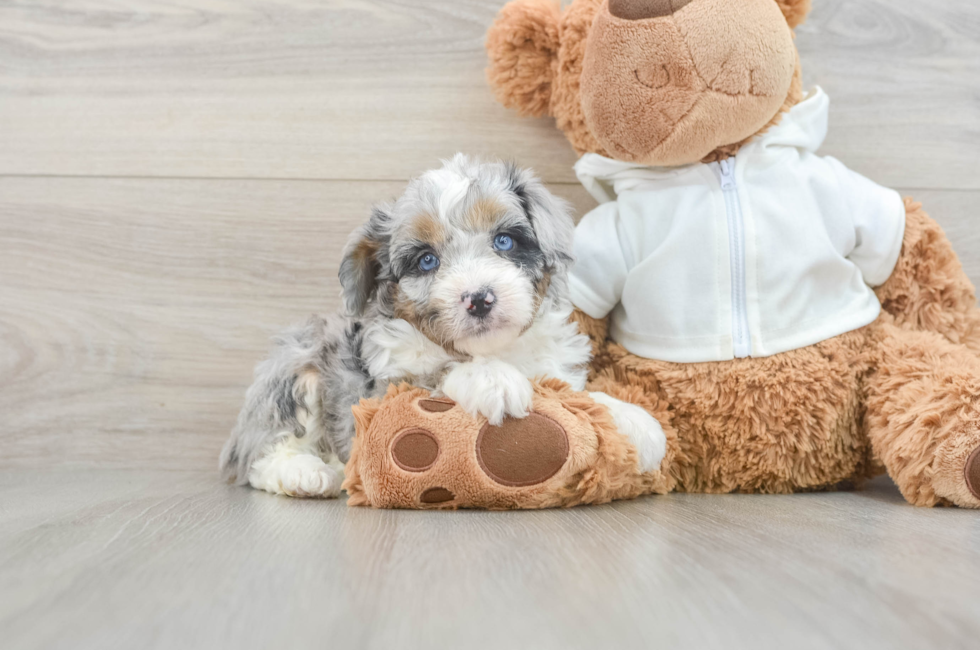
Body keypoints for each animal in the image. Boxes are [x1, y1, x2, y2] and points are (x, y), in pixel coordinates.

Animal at [221, 153, 668, 496]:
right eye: (426, 260)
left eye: (504, 241)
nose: (480, 298)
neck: (494, 349)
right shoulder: (382, 391)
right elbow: (438, 372)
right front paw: (494, 380)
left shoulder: (554, 370)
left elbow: (580, 396)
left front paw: (637, 422)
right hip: (296, 367)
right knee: (263, 450)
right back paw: (307, 473)